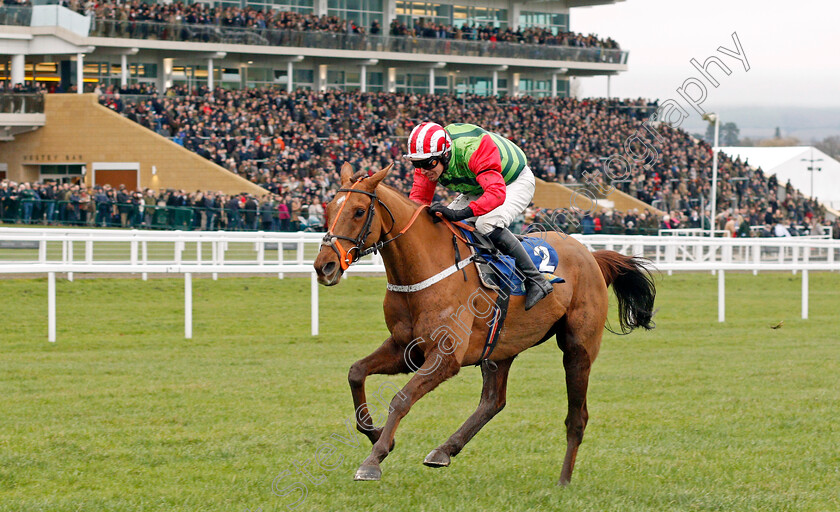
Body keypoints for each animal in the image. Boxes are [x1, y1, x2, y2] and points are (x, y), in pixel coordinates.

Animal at [316, 163, 656, 484]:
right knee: (494, 401)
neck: (425, 268)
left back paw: (563, 480)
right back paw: (444, 450)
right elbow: (356, 372)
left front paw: (373, 460)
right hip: (500, 347)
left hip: (578, 348)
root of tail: (591, 256)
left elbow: (400, 398)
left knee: (577, 417)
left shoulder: (445, 356)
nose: (324, 266)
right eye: (328, 208)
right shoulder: (406, 347)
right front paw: (374, 433)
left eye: (359, 211)